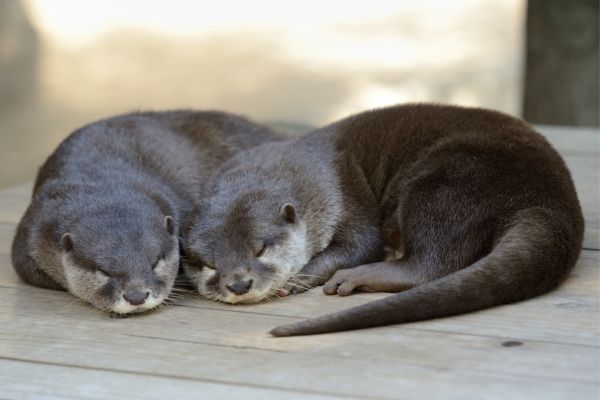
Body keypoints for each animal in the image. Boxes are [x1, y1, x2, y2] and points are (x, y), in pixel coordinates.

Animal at [182, 103, 580, 334]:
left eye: (261, 249)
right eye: (207, 264)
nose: (239, 284)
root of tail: (547, 194)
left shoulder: (340, 191)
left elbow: (362, 242)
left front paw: (300, 279)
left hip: (447, 182)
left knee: (430, 264)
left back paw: (361, 276)